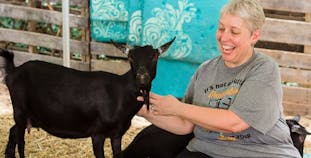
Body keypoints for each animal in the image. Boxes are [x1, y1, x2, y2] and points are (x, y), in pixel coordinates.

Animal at [0, 38, 176, 158]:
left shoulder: (117, 134)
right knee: (20, 141)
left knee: (13, 133)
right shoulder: (97, 133)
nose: (142, 77)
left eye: (154, 57)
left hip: (31, 115)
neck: (121, 94)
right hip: (20, 110)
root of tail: (13, 71)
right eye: (131, 58)